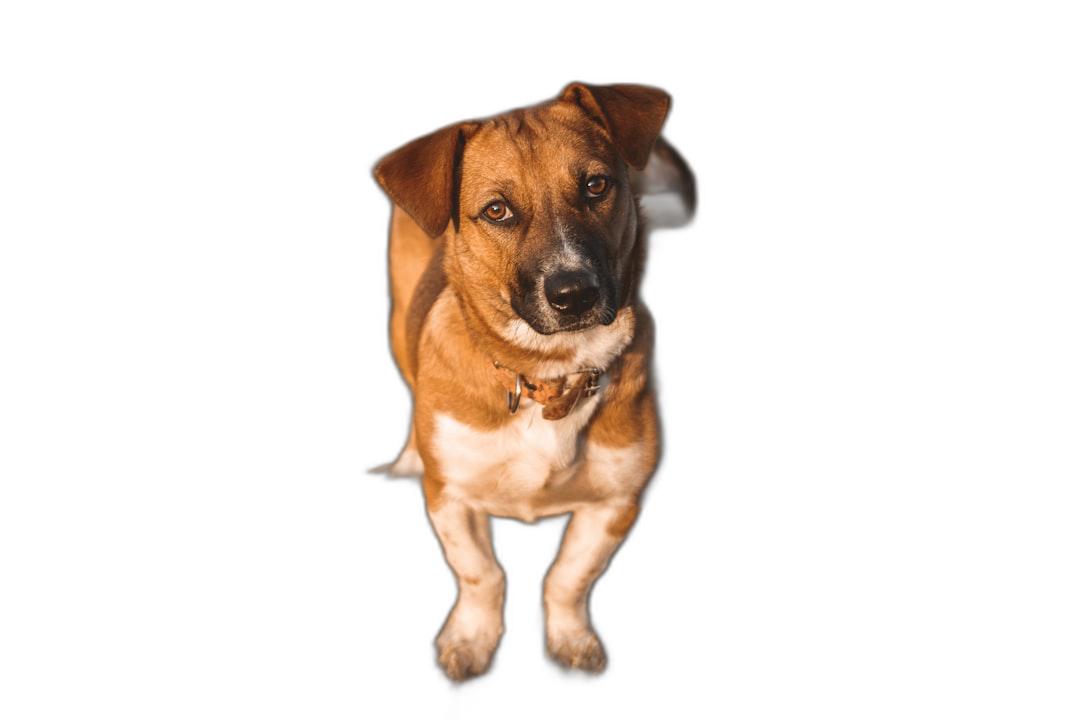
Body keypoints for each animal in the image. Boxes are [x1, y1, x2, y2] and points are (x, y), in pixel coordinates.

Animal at [373, 81, 699, 686]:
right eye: (496, 210)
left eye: (596, 185)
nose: (574, 294)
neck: (551, 376)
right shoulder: (449, 496)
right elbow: (480, 574)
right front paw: (471, 640)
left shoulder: (618, 501)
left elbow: (569, 578)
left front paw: (570, 640)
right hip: (397, 319)